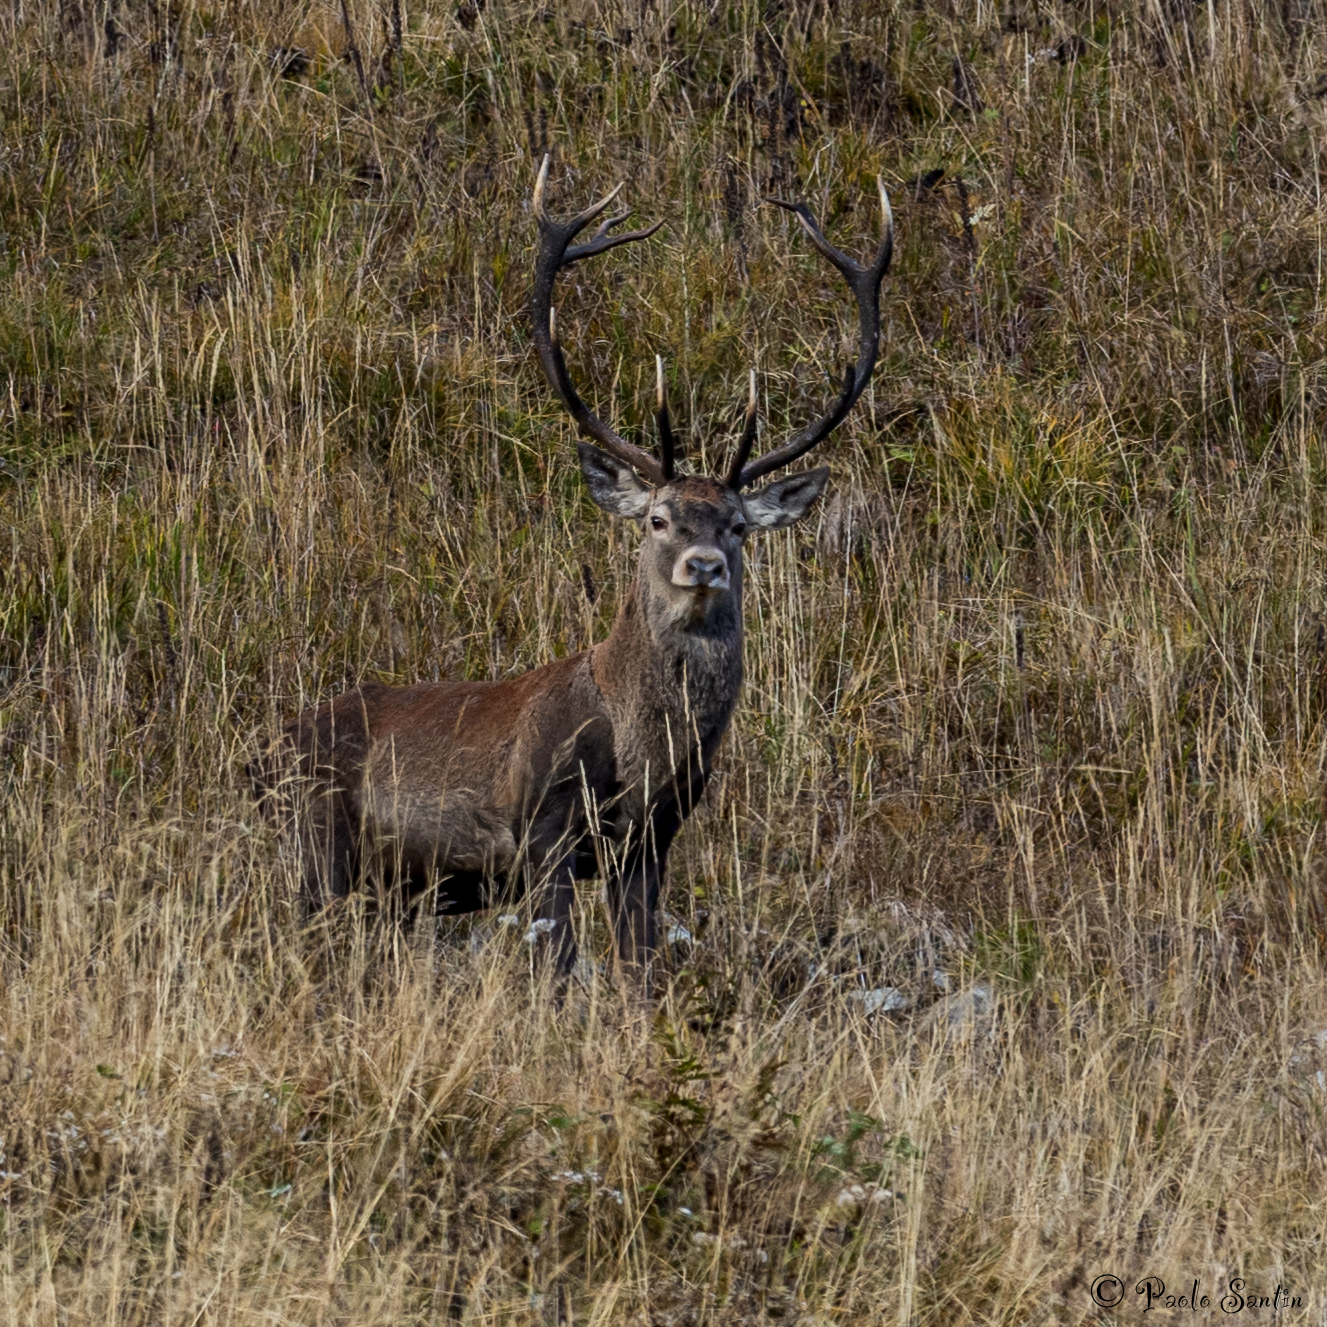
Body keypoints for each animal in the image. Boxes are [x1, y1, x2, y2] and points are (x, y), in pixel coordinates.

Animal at [257, 156, 894, 993]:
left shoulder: (651, 842)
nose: (703, 565)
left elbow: (643, 969)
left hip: (383, 884)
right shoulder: (543, 827)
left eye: (736, 525)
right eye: (657, 518)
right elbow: (558, 969)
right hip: (315, 842)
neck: (638, 758)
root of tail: (262, 750)